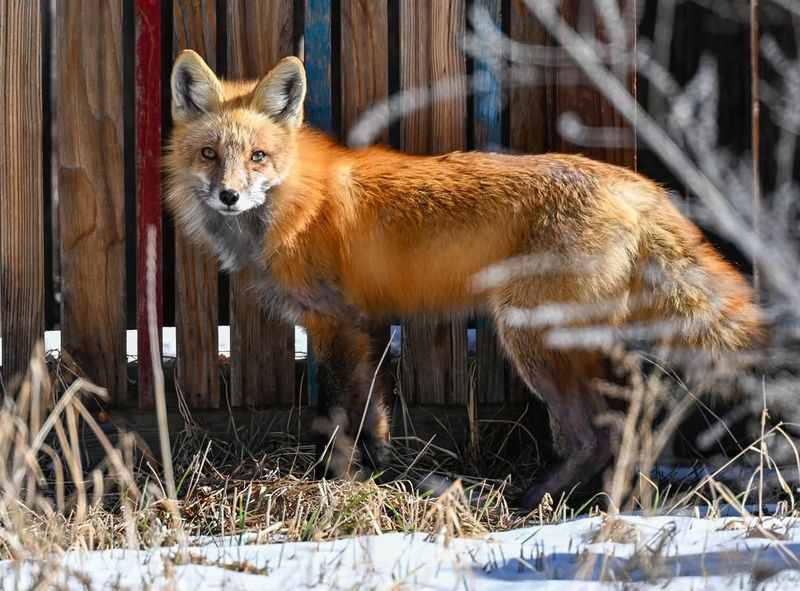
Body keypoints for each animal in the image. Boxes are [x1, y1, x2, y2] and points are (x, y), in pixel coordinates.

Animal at [164, 50, 764, 508]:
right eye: (210, 154)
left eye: (258, 156)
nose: (229, 196)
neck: (297, 202)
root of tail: (638, 185)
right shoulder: (367, 325)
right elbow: (374, 414)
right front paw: (381, 473)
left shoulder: (334, 323)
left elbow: (337, 413)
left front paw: (333, 480)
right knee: (615, 426)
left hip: (529, 334)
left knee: (593, 432)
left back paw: (537, 502)